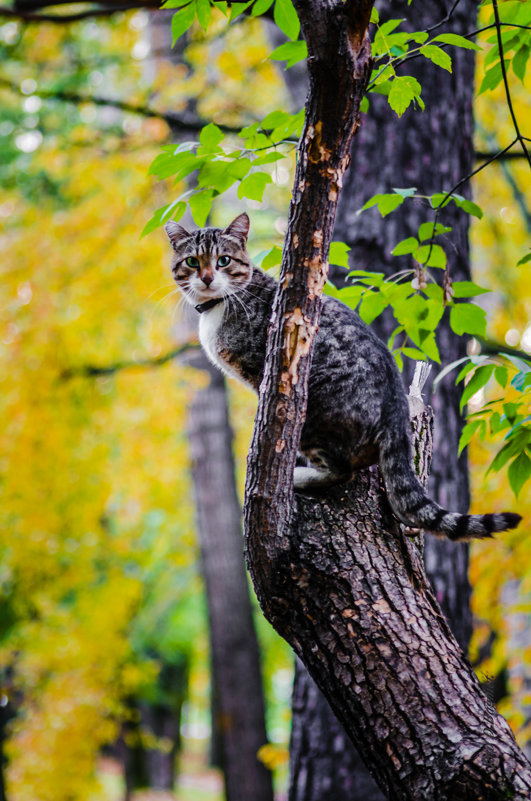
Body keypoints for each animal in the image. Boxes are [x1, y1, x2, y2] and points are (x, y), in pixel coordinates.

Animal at [166, 211, 524, 544]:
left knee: (342, 472)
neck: (218, 308)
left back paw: (299, 475)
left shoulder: (261, 372)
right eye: (193, 262)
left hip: (313, 411)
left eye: (223, 261)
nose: (207, 278)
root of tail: (397, 405)